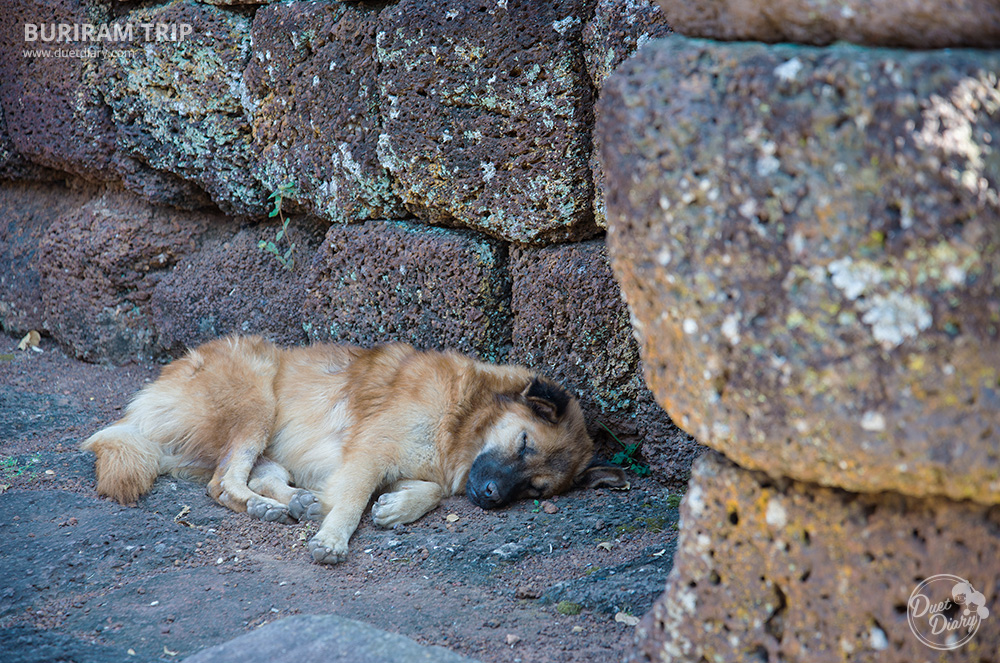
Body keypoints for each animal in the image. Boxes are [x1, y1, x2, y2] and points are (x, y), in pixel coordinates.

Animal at [84, 338, 624, 564]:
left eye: (536, 489)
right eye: (524, 443)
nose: (490, 496)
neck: (462, 415)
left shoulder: (412, 464)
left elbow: (425, 491)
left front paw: (396, 508)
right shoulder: (369, 452)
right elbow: (350, 502)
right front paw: (333, 539)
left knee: (257, 475)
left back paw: (295, 503)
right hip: (256, 396)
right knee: (223, 483)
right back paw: (270, 507)